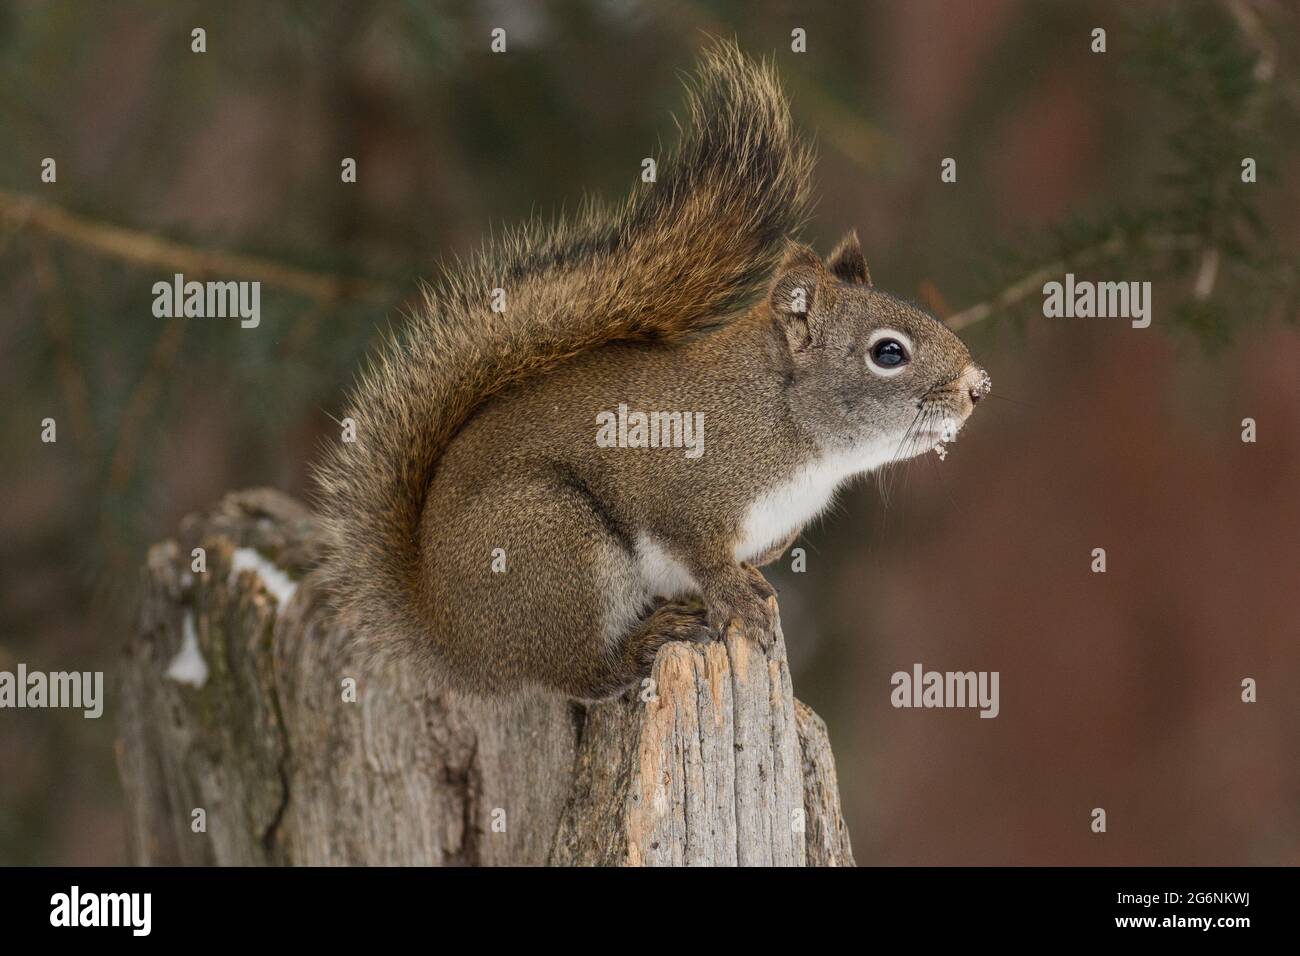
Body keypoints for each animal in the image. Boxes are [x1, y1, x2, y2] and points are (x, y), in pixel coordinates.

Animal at [313, 41, 989, 700]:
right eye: (888, 353)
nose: (977, 387)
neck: (791, 430)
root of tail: (449, 635)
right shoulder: (684, 490)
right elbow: (700, 553)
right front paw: (739, 601)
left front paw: (752, 586)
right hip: (555, 547)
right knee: (577, 673)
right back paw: (639, 645)